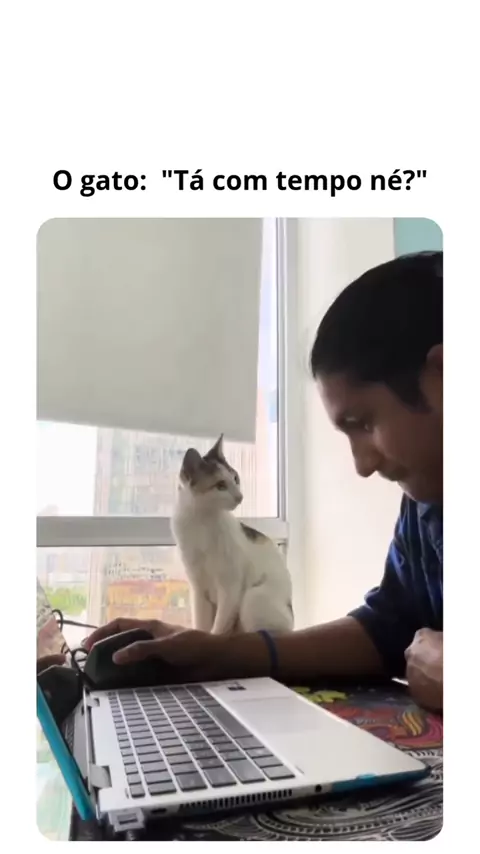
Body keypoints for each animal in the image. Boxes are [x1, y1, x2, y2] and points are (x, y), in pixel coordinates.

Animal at [171, 435, 294, 635]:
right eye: (220, 485)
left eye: (235, 478)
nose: (240, 497)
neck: (200, 522)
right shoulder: (198, 590)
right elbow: (202, 624)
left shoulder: (230, 588)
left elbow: (219, 627)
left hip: (252, 597)